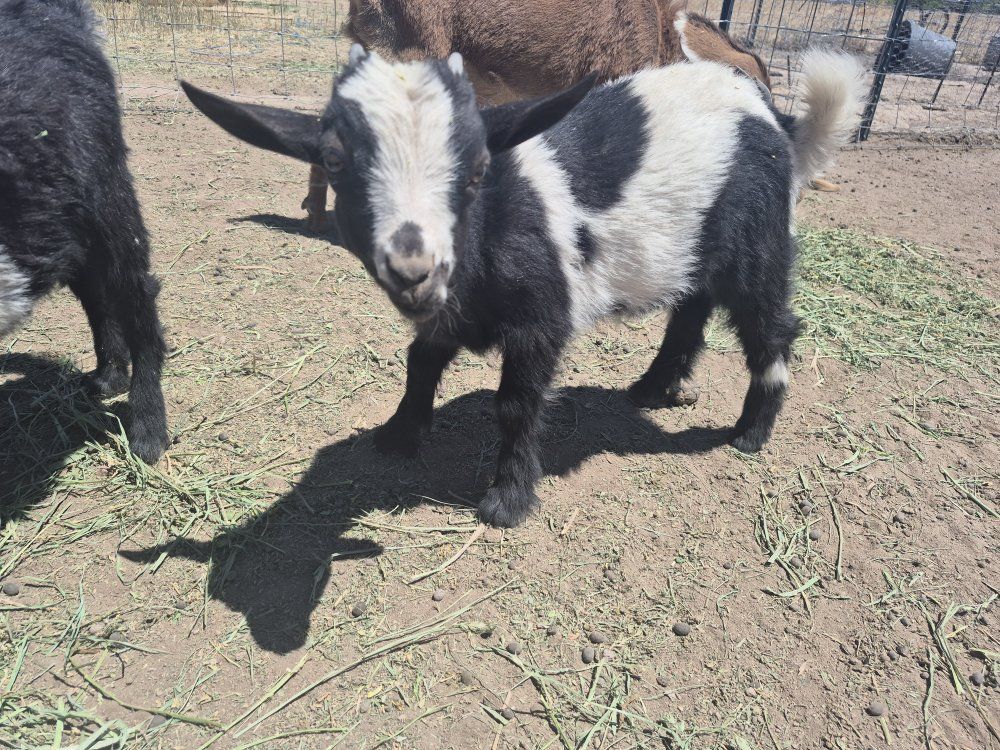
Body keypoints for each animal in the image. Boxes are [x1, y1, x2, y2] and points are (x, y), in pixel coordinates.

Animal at [182, 44, 864, 527]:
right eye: (333, 159)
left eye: (479, 166)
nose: (413, 267)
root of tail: (773, 115)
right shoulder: (449, 310)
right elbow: (420, 361)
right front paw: (399, 435)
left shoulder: (542, 315)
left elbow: (516, 403)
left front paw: (507, 501)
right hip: (690, 246)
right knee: (690, 309)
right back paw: (652, 388)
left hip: (759, 240)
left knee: (770, 325)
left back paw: (750, 432)